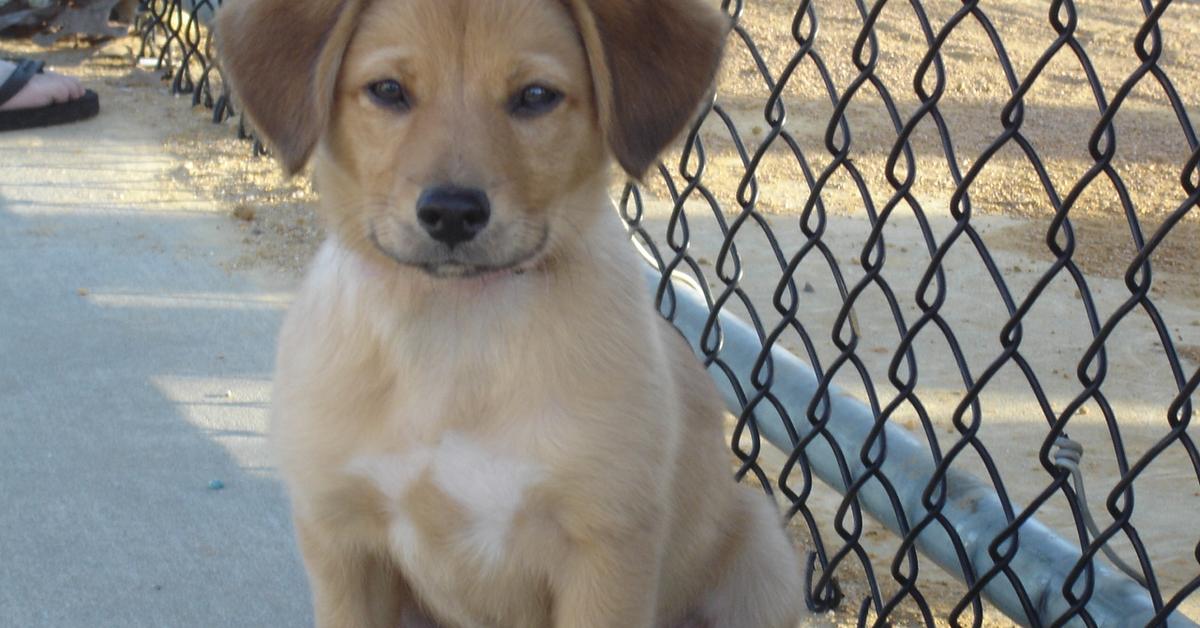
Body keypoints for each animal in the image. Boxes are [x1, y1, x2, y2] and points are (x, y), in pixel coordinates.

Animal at [219, 1, 801, 628]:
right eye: (388, 90)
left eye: (536, 96)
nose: (451, 212)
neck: (454, 329)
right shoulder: (343, 542)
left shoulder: (606, 549)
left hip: (765, 554)